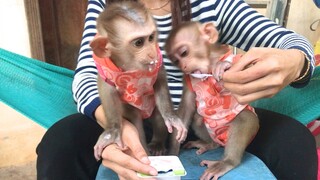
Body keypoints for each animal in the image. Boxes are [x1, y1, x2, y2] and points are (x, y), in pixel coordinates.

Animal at [90, 1, 188, 159]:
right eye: (139, 43)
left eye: (151, 38)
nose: (152, 52)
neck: (131, 66)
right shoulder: (106, 69)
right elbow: (107, 91)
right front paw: (113, 131)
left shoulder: (156, 63)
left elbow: (159, 80)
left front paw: (171, 117)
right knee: (135, 120)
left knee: (157, 115)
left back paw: (157, 144)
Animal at [165, 21, 260, 180]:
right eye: (176, 61)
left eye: (184, 53)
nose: (183, 66)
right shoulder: (188, 79)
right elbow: (187, 109)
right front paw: (173, 151)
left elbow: (247, 69)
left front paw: (224, 65)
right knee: (198, 118)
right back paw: (209, 144)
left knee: (245, 118)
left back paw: (228, 162)